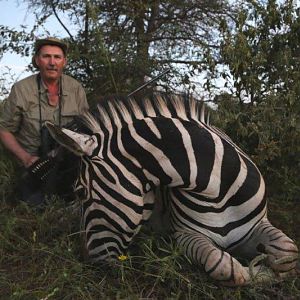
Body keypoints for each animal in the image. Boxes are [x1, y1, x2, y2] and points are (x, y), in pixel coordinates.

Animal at [45, 93, 298, 286]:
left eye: (81, 192)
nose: (88, 262)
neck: (217, 192)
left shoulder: (258, 224)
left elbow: (288, 252)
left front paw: (265, 268)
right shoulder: (185, 235)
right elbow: (222, 265)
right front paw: (256, 271)